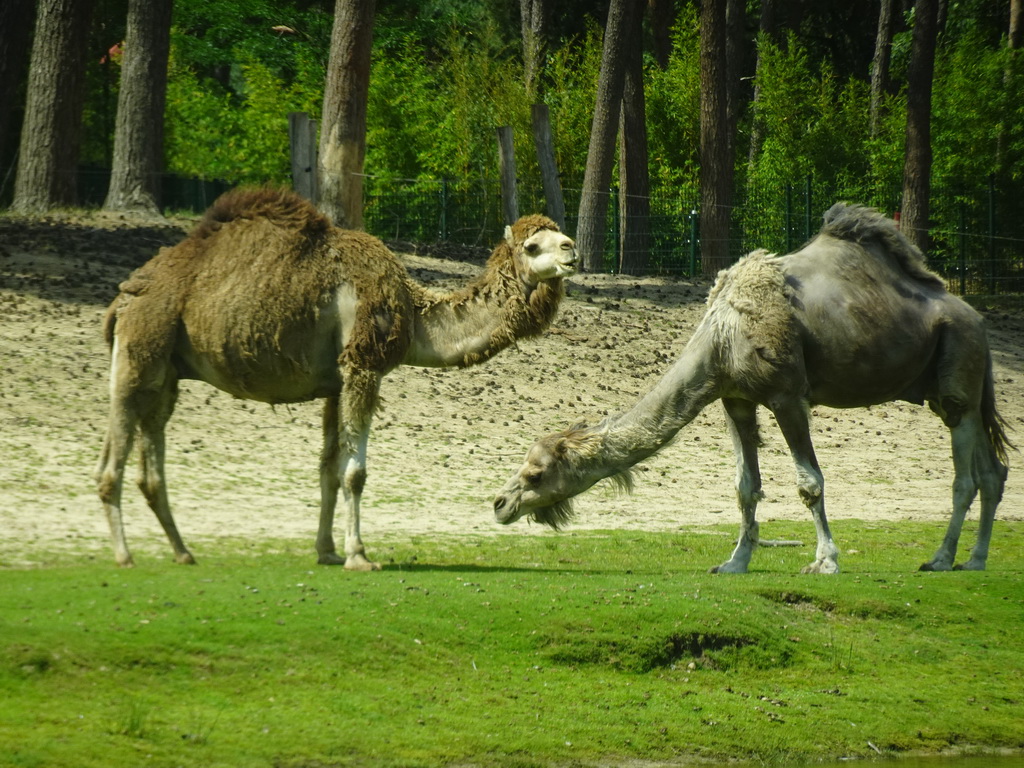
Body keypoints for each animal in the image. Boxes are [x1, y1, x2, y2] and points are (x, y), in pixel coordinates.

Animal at [96, 189, 577, 569]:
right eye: (533, 246)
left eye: (558, 235)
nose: (572, 249)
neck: (411, 311)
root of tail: (121, 300)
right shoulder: (363, 366)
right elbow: (354, 473)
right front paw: (358, 556)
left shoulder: (334, 383)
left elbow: (327, 469)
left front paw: (326, 550)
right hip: (140, 350)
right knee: (113, 458)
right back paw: (123, 555)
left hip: (166, 373)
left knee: (149, 456)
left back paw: (182, 552)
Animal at [491, 201, 1011, 573]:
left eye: (535, 474)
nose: (499, 504)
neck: (722, 336)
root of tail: (977, 319)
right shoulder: (734, 398)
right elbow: (745, 486)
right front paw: (734, 562)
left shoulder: (787, 395)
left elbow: (809, 483)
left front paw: (825, 561)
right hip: (947, 388)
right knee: (993, 472)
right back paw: (975, 560)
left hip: (958, 374)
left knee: (965, 477)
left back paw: (941, 559)